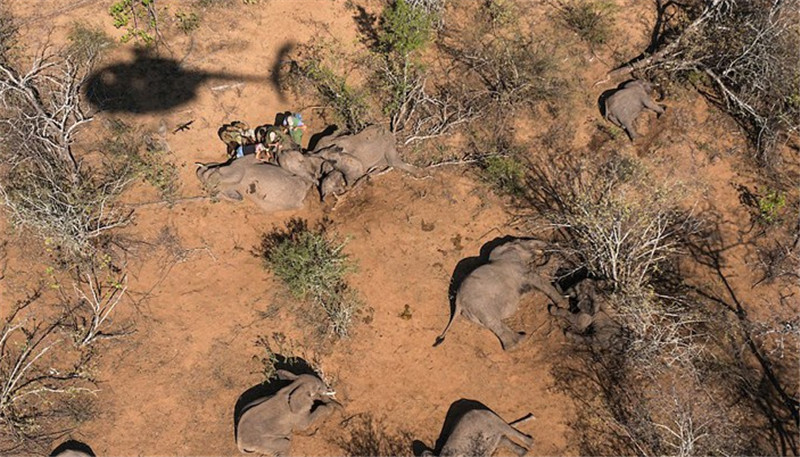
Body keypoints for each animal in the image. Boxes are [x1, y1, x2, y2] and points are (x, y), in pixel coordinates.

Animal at [434, 239, 569, 350]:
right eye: (520, 241)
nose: (554, 244)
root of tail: (458, 303)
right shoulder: (516, 268)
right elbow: (536, 276)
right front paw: (564, 305)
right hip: (479, 305)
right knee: (493, 321)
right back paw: (518, 343)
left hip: (471, 314)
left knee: (494, 324)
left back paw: (519, 339)